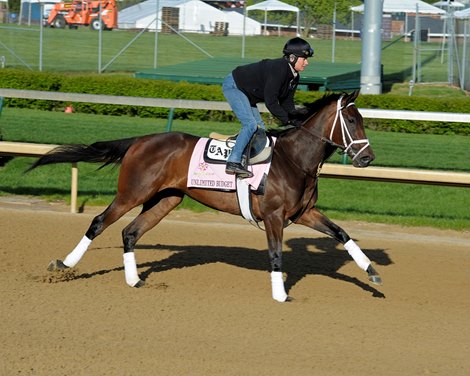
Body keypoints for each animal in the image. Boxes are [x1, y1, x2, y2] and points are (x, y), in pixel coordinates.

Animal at [27, 91, 382, 302]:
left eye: (362, 120)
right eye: (352, 120)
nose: (367, 158)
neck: (294, 159)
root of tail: (140, 140)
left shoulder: (304, 212)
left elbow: (342, 234)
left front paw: (372, 272)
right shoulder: (274, 216)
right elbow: (275, 253)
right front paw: (280, 294)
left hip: (166, 199)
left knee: (130, 232)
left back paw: (135, 280)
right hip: (132, 192)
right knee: (99, 222)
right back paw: (64, 263)